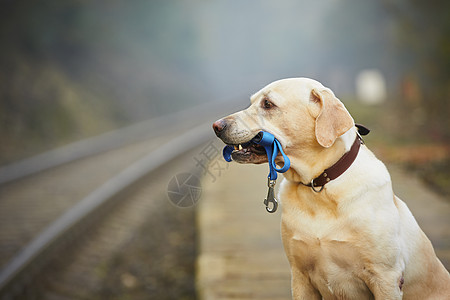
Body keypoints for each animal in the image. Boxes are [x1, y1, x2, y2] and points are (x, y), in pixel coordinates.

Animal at [213, 78, 450, 300]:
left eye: (268, 104)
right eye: (252, 102)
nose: (216, 126)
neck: (318, 186)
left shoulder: (386, 277)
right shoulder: (299, 275)